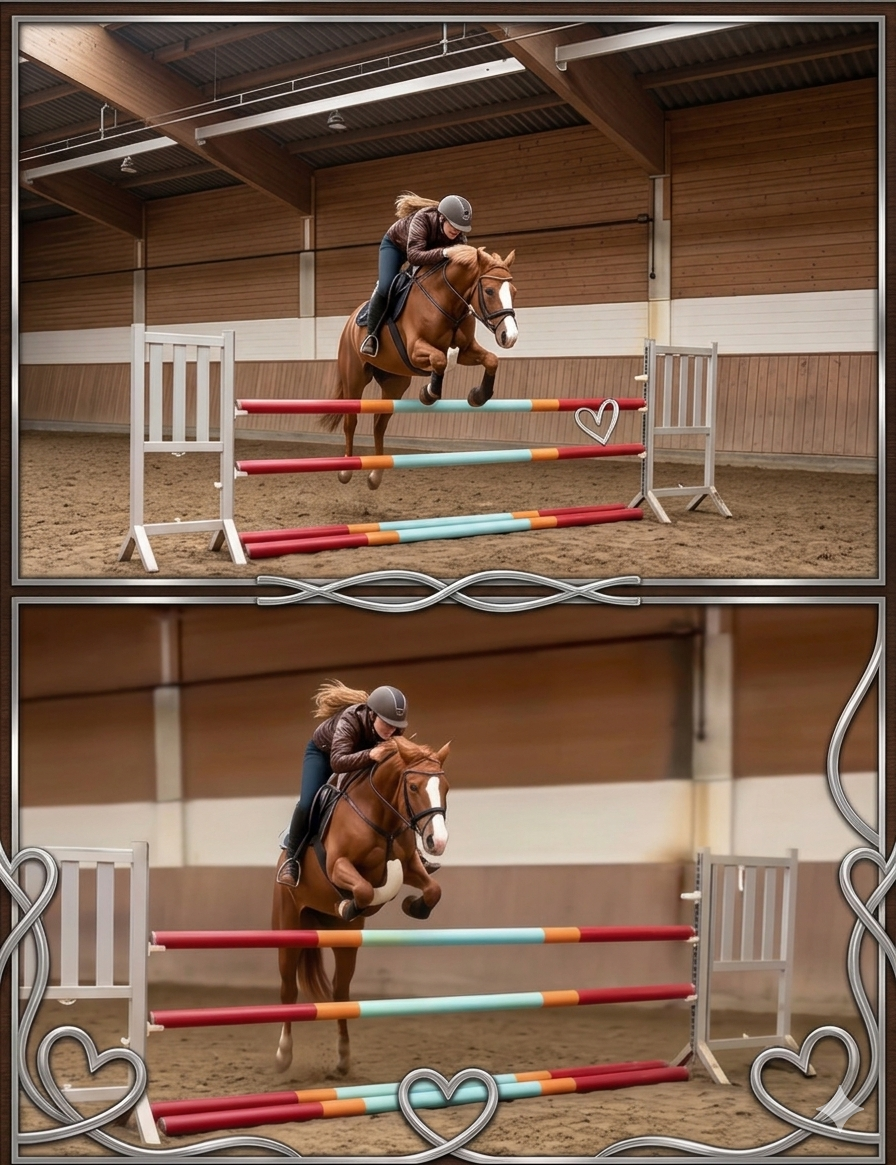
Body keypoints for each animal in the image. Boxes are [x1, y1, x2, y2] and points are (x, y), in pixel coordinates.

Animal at [271, 735, 450, 1076]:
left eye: (445, 787)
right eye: (413, 787)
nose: (438, 842)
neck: (381, 815)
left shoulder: (410, 865)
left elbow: (432, 889)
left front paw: (414, 906)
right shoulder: (338, 864)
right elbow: (365, 889)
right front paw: (350, 904)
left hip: (346, 944)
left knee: (341, 992)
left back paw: (343, 1056)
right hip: (289, 927)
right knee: (287, 989)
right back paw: (283, 1054)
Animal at [323, 245, 518, 489]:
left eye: (514, 292)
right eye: (490, 291)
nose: (509, 336)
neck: (447, 300)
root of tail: (350, 321)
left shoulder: (466, 350)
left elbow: (490, 359)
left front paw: (478, 395)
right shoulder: (415, 350)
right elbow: (440, 360)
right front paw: (429, 393)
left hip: (394, 383)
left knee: (379, 423)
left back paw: (376, 475)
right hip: (354, 378)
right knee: (351, 421)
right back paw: (346, 470)